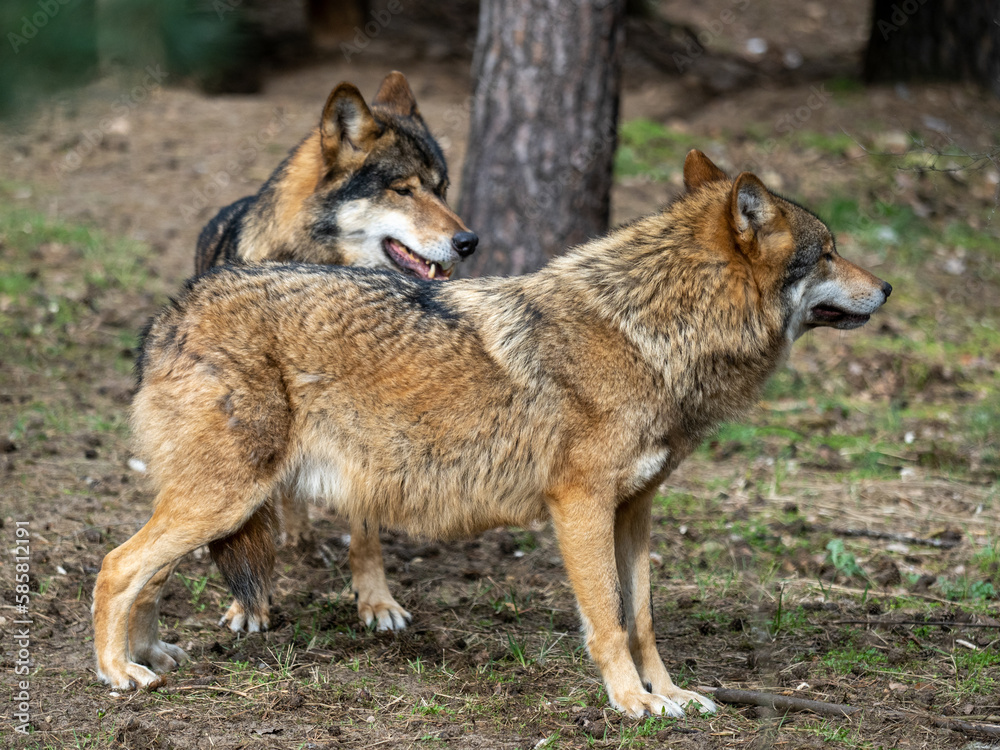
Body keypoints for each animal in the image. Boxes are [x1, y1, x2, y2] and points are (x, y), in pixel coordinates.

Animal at [93, 151, 890, 717]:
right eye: (828, 251)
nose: (885, 289)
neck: (652, 333)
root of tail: (174, 309)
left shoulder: (635, 511)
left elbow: (643, 620)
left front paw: (671, 696)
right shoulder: (580, 507)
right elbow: (608, 619)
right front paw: (630, 703)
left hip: (217, 502)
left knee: (146, 572)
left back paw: (151, 656)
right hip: (226, 498)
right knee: (115, 565)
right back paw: (115, 673)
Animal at [194, 71, 477, 634]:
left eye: (441, 188)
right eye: (403, 189)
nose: (469, 241)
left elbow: (365, 537)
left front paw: (376, 602)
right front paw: (249, 605)